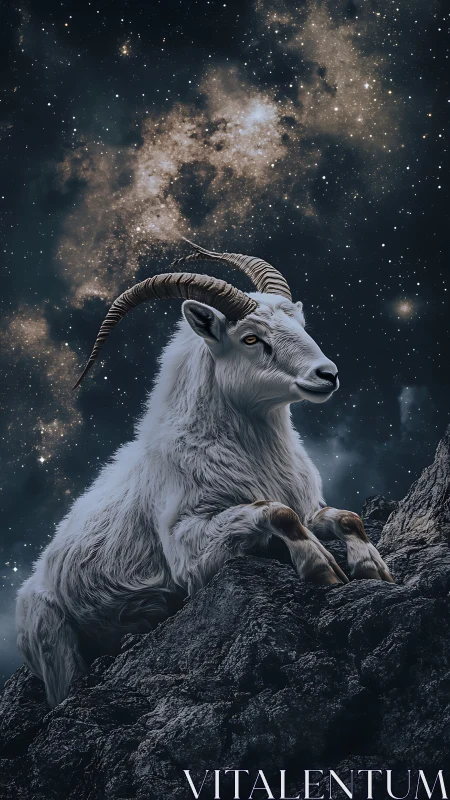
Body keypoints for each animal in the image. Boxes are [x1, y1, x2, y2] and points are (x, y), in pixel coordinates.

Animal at [16, 239, 393, 707]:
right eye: (251, 337)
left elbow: (347, 517)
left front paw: (373, 568)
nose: (327, 375)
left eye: (300, 322)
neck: (252, 453)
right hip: (54, 648)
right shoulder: (189, 549)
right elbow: (279, 512)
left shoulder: (310, 506)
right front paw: (321, 568)